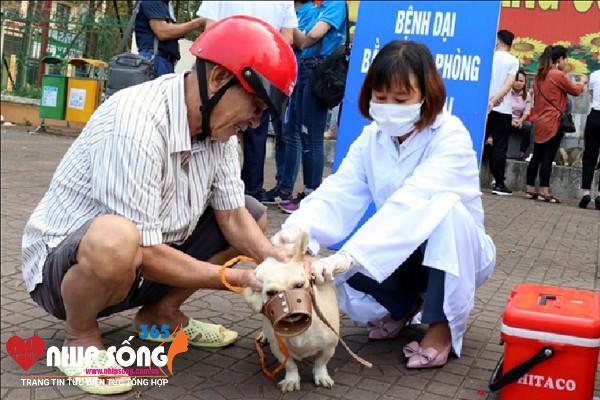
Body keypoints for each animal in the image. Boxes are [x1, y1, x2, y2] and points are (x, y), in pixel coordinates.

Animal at [243, 233, 338, 392]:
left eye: (299, 285)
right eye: (271, 293)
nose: (290, 310)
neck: (296, 328)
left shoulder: (329, 347)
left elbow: (321, 362)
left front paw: (321, 376)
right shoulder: (279, 350)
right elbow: (290, 365)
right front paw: (291, 380)